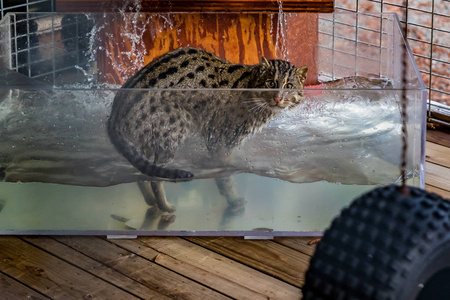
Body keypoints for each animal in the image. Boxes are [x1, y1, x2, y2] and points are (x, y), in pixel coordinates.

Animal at [107, 46, 308, 211]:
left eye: (289, 86)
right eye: (270, 83)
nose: (278, 98)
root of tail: (115, 112)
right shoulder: (221, 142)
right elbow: (225, 176)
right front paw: (233, 200)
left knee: (141, 171)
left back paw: (150, 200)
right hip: (174, 128)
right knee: (154, 177)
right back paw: (164, 206)